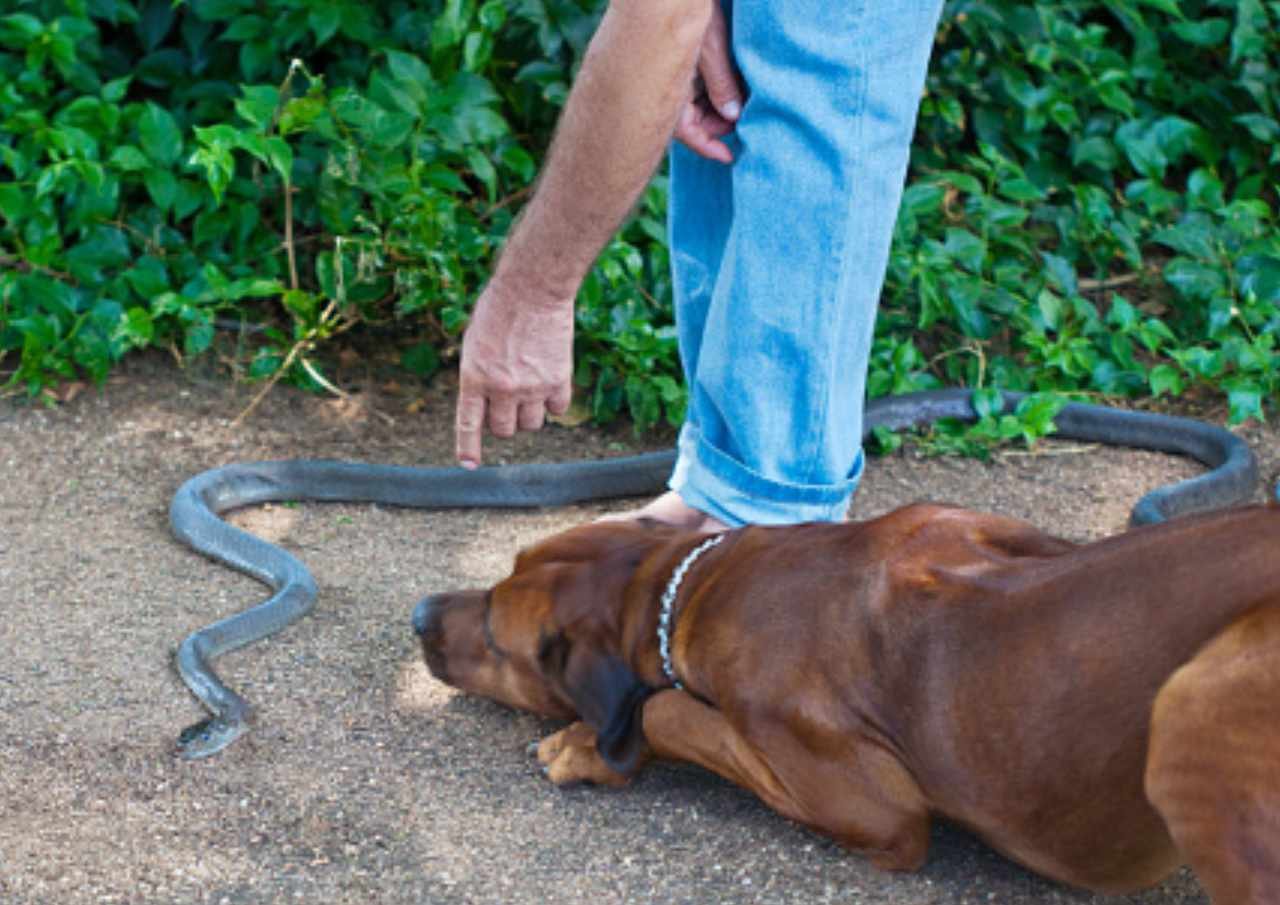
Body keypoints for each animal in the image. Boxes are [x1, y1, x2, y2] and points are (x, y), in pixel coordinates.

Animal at [414, 506, 1280, 901]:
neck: (688, 586)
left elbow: (668, 710)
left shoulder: (879, 809)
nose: (420, 610)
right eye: (508, 561)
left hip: (1192, 708)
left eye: (493, 633)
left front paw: (588, 744)